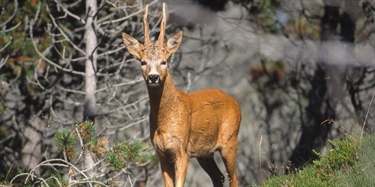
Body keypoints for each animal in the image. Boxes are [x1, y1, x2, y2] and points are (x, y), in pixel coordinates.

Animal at [122, 3, 242, 187]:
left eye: (164, 61)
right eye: (143, 62)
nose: (153, 77)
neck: (166, 121)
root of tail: (235, 102)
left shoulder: (182, 150)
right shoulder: (162, 154)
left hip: (230, 140)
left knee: (233, 177)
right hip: (204, 152)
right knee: (219, 176)